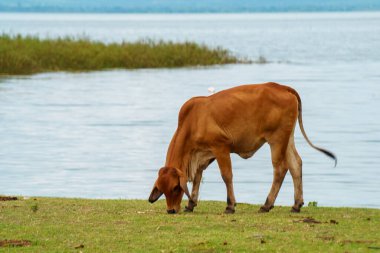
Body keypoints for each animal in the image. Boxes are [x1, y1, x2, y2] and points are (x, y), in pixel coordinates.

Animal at [148, 82, 336, 213]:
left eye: (175, 188)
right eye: (162, 189)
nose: (171, 210)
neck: (193, 121)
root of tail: (282, 87)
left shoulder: (221, 147)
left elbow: (226, 176)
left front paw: (230, 206)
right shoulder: (204, 154)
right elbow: (197, 177)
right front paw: (191, 204)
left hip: (276, 140)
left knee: (280, 169)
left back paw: (267, 205)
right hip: (287, 139)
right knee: (296, 165)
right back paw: (296, 205)